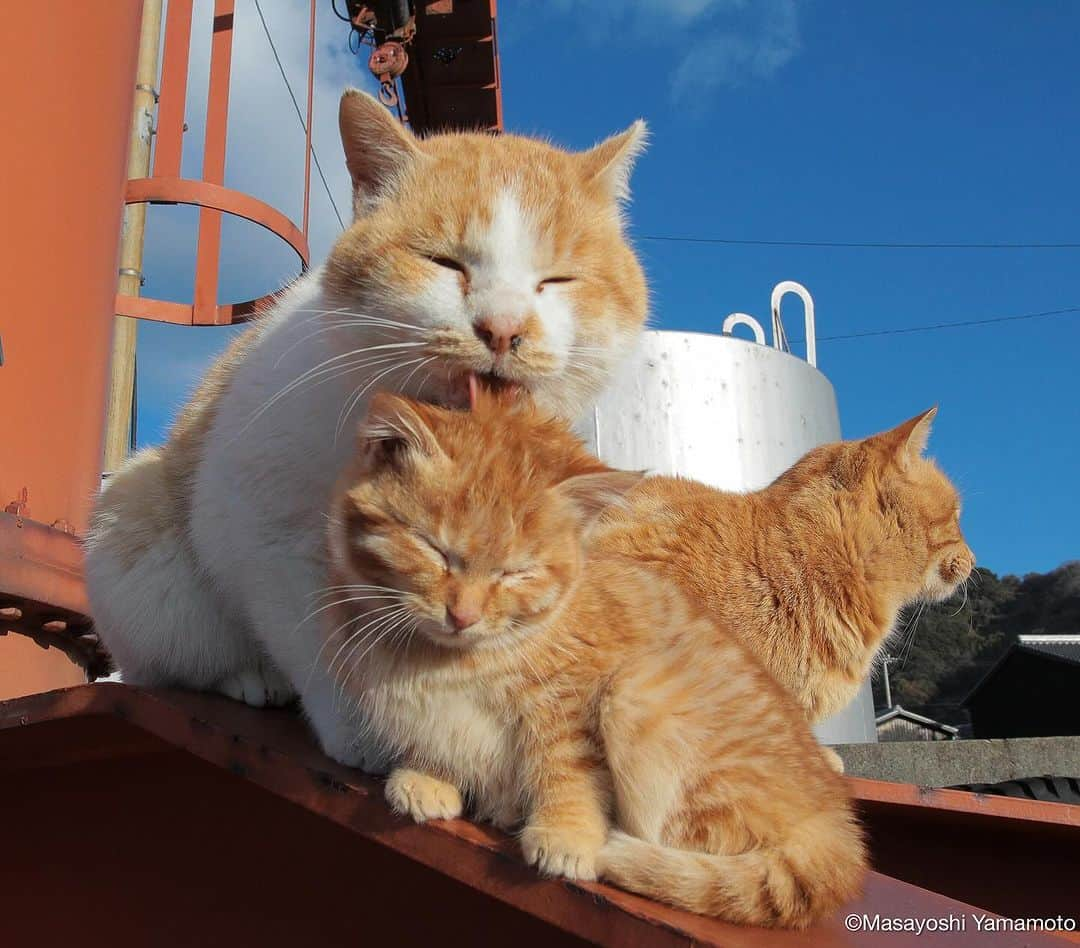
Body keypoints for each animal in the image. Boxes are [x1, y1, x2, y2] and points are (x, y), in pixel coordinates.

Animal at [86, 90, 648, 773]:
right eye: (443, 263)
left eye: (557, 280)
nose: (504, 328)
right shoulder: (266, 532)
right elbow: (321, 646)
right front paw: (367, 737)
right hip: (135, 521)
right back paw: (249, 677)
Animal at [321, 390, 868, 928]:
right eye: (433, 549)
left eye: (516, 573)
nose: (463, 615)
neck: (449, 661)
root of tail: (834, 822)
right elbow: (439, 738)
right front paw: (429, 776)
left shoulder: (568, 703)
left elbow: (567, 769)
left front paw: (567, 834)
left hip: (637, 694)